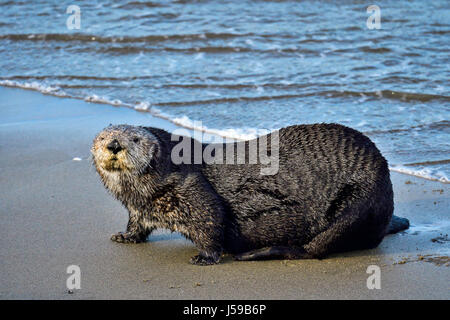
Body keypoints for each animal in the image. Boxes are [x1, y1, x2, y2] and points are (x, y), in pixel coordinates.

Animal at [90, 122, 408, 264]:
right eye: (103, 137)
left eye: (135, 138)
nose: (114, 145)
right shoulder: (140, 208)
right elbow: (137, 224)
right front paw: (124, 236)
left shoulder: (190, 187)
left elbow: (211, 220)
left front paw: (204, 257)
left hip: (359, 202)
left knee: (314, 250)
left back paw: (258, 252)